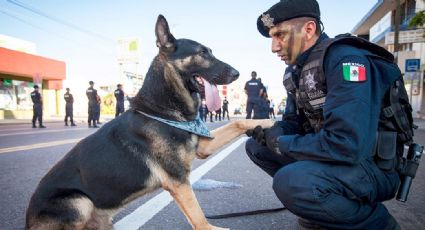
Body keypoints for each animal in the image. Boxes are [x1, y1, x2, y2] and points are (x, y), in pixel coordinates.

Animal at [25, 14, 272, 230]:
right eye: (202, 52)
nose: (237, 73)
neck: (163, 110)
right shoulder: (178, 181)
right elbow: (199, 219)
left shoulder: (202, 147)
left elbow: (237, 123)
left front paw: (269, 124)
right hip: (78, 202)